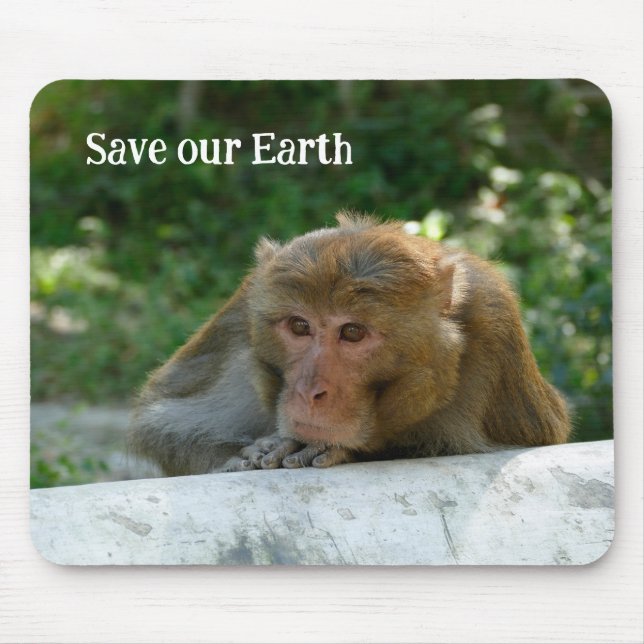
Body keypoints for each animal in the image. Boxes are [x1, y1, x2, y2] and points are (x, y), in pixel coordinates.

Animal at [128, 212, 570, 476]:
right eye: (300, 326)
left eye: (353, 332)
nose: (309, 391)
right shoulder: (242, 316)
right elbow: (161, 422)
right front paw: (245, 455)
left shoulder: (494, 322)